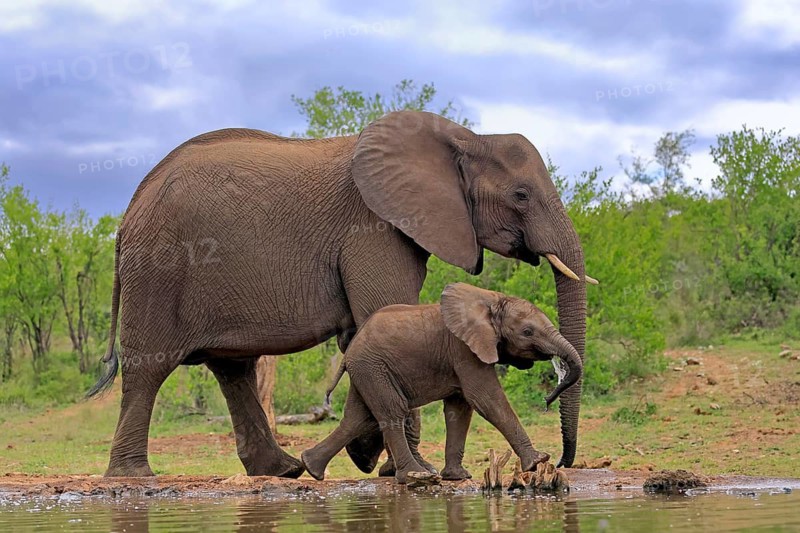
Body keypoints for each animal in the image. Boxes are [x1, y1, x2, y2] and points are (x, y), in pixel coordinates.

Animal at [301, 283, 583, 483]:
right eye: (527, 332)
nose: (547, 401)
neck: (491, 300)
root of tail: (349, 352)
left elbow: (460, 409)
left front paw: (458, 477)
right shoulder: (463, 350)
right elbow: (486, 399)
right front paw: (537, 461)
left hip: (367, 370)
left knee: (359, 417)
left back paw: (312, 468)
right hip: (373, 367)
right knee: (392, 411)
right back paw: (416, 476)